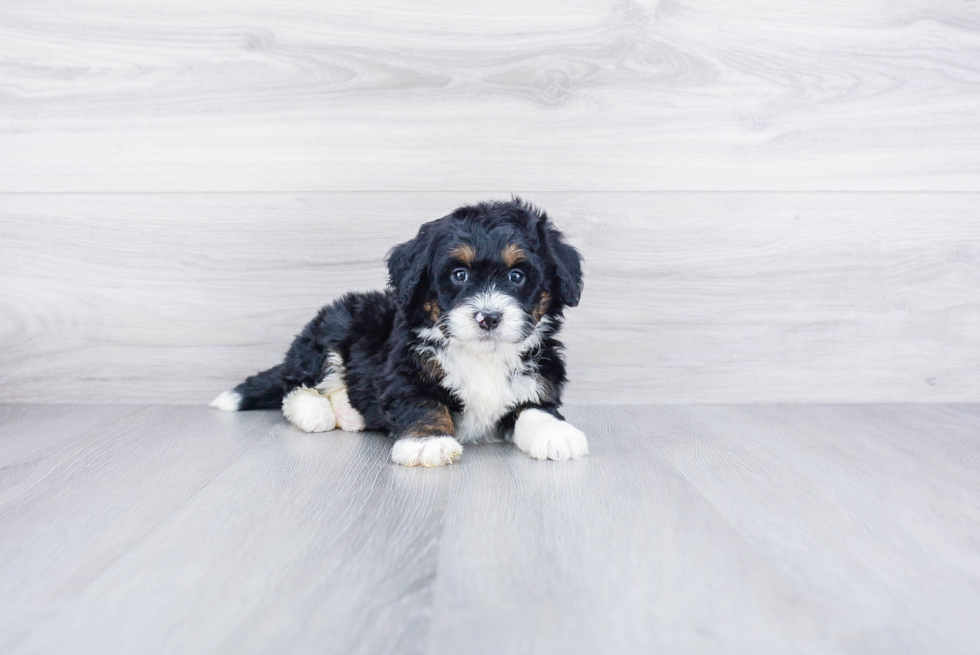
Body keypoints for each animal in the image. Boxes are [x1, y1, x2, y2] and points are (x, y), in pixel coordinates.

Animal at [209, 199, 588, 466]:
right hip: (334, 329)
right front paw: (428, 443)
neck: (481, 355)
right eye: (459, 275)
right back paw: (316, 411)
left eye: (517, 276)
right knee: (296, 384)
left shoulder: (538, 377)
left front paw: (557, 434)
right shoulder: (405, 372)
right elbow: (423, 403)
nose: (488, 317)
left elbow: (535, 408)